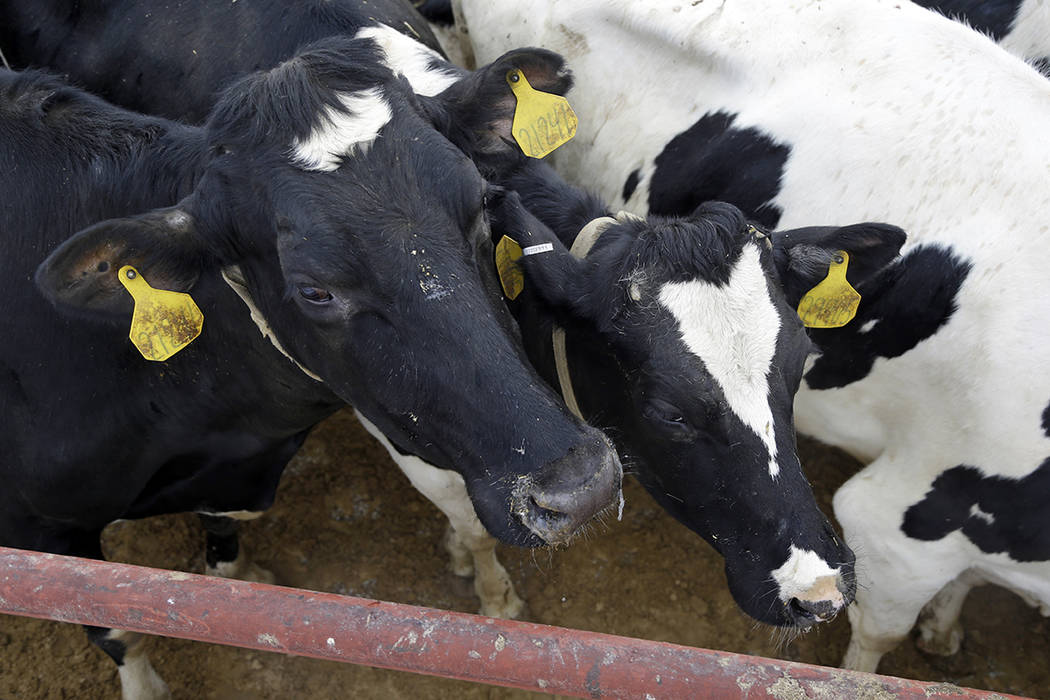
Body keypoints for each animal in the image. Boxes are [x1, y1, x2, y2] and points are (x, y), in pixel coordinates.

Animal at [2, 36, 621, 696]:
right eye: (314, 290)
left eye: (482, 204)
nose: (581, 485)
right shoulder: (41, 533)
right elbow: (107, 618)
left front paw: (236, 571)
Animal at [455, 0, 1050, 675]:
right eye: (669, 411)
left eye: (799, 371)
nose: (816, 590)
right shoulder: (899, 524)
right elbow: (874, 646)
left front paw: (945, 626)